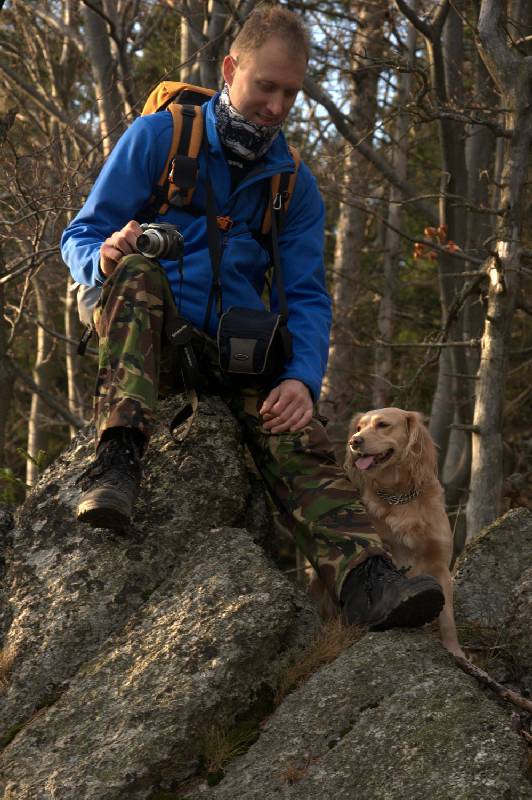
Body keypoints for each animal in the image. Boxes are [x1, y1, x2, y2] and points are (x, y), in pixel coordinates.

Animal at [342, 406, 464, 656]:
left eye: (382, 425)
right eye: (358, 427)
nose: (353, 441)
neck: (400, 497)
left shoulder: (439, 564)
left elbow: (448, 619)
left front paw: (456, 653)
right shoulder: (396, 555)